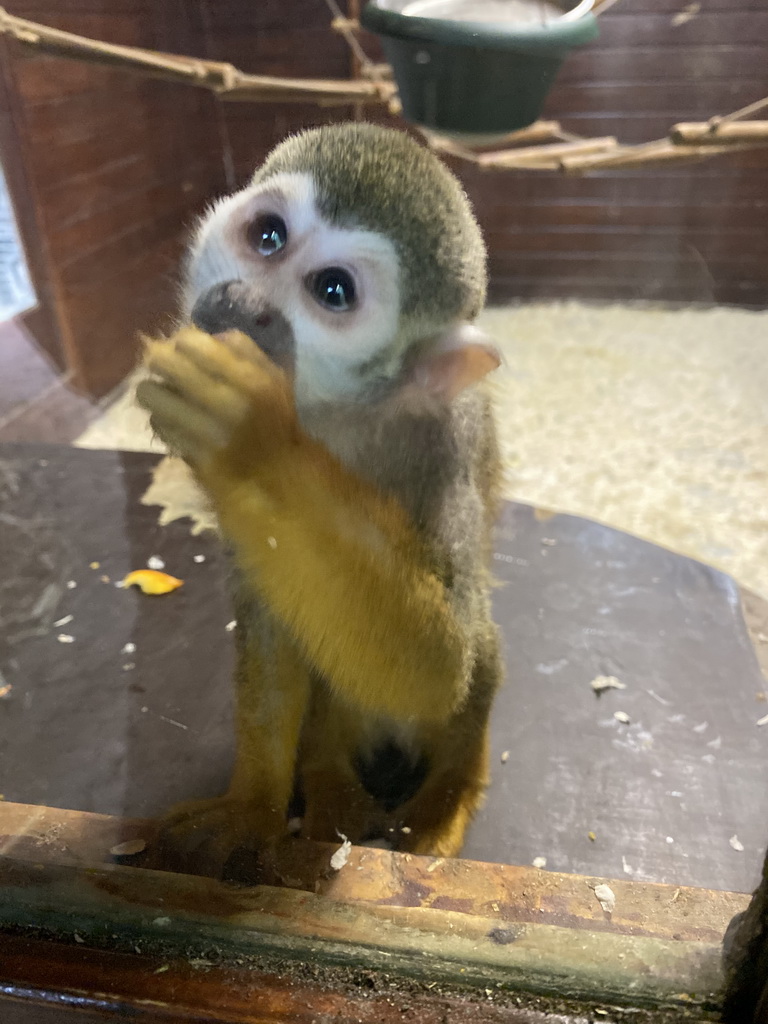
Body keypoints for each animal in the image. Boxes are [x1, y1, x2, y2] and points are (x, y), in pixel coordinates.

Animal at [136, 119, 501, 872]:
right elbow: (272, 620)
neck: (334, 415)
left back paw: (448, 791)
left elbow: (438, 666)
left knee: (474, 647)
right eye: (268, 237)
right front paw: (252, 810)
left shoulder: (444, 443)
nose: (245, 303)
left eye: (332, 291)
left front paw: (256, 441)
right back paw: (329, 781)